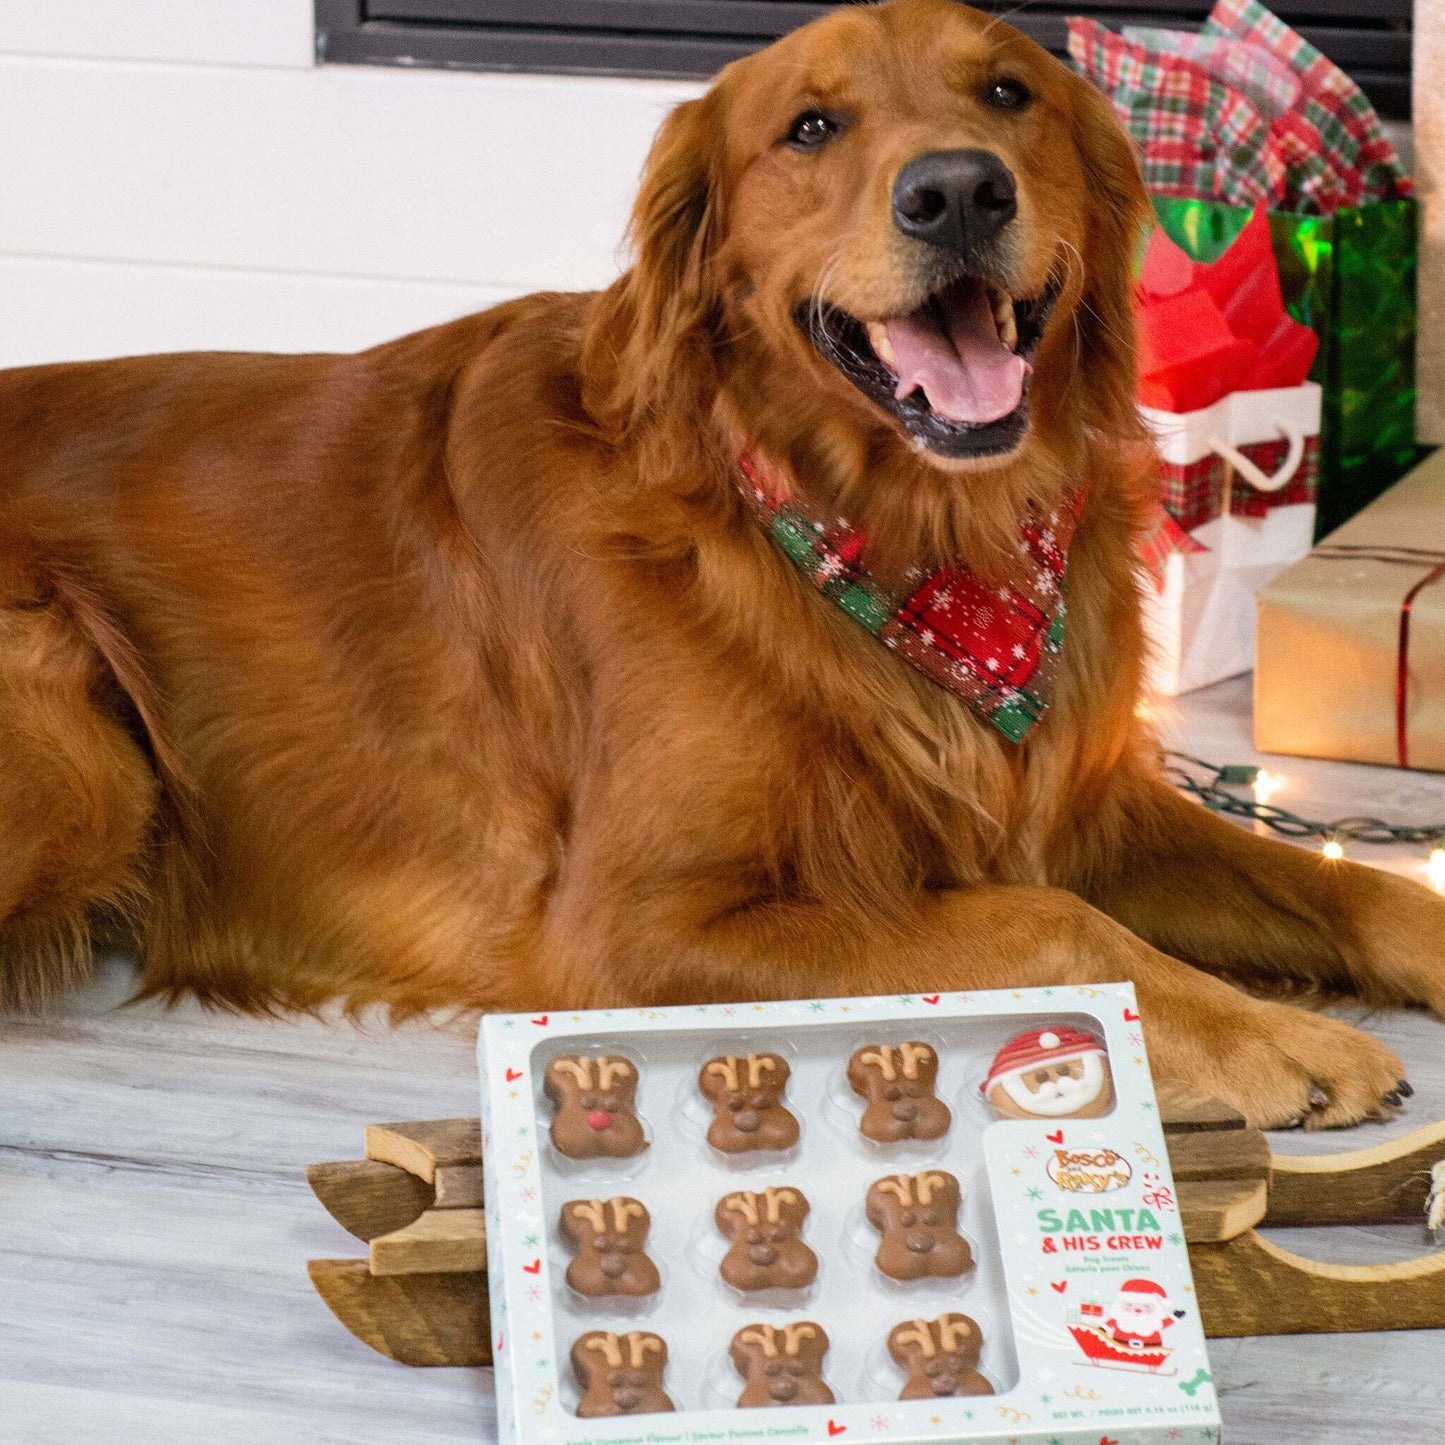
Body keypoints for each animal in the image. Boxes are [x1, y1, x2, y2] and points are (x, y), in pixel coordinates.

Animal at [2, 0, 1445, 1127]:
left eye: (1006, 93)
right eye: (809, 130)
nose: (958, 190)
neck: (916, 539)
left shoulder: (1087, 808)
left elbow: (1337, 879)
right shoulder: (636, 927)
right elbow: (1046, 923)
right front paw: (1273, 1037)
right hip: (81, 740)